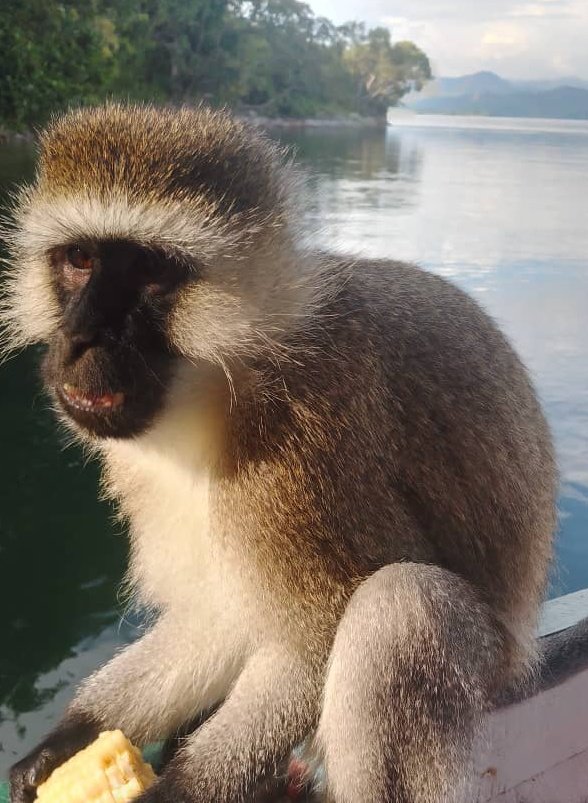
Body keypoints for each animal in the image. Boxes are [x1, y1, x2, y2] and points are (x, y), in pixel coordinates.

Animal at [2, 103, 556, 803]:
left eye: (151, 274)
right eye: (78, 259)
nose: (79, 336)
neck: (221, 386)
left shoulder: (306, 454)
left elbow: (312, 642)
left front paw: (176, 790)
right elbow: (218, 614)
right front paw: (65, 742)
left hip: (488, 668)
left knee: (403, 607)